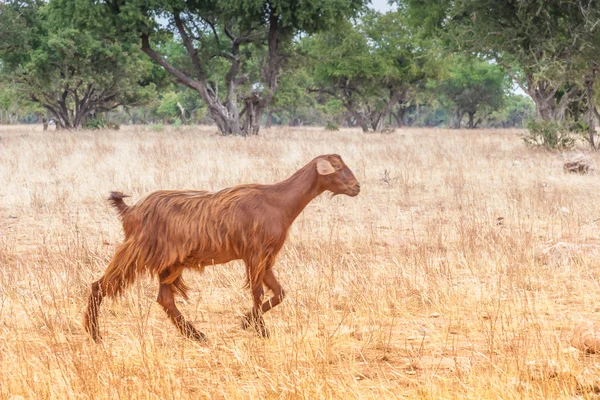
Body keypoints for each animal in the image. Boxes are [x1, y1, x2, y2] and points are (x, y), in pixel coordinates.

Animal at [85, 153, 360, 340]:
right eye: (337, 167)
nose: (357, 187)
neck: (278, 200)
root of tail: (131, 210)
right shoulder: (255, 254)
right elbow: (258, 292)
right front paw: (261, 330)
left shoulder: (265, 257)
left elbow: (279, 293)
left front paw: (246, 322)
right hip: (139, 251)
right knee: (100, 285)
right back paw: (93, 333)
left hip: (169, 262)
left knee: (165, 299)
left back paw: (196, 335)